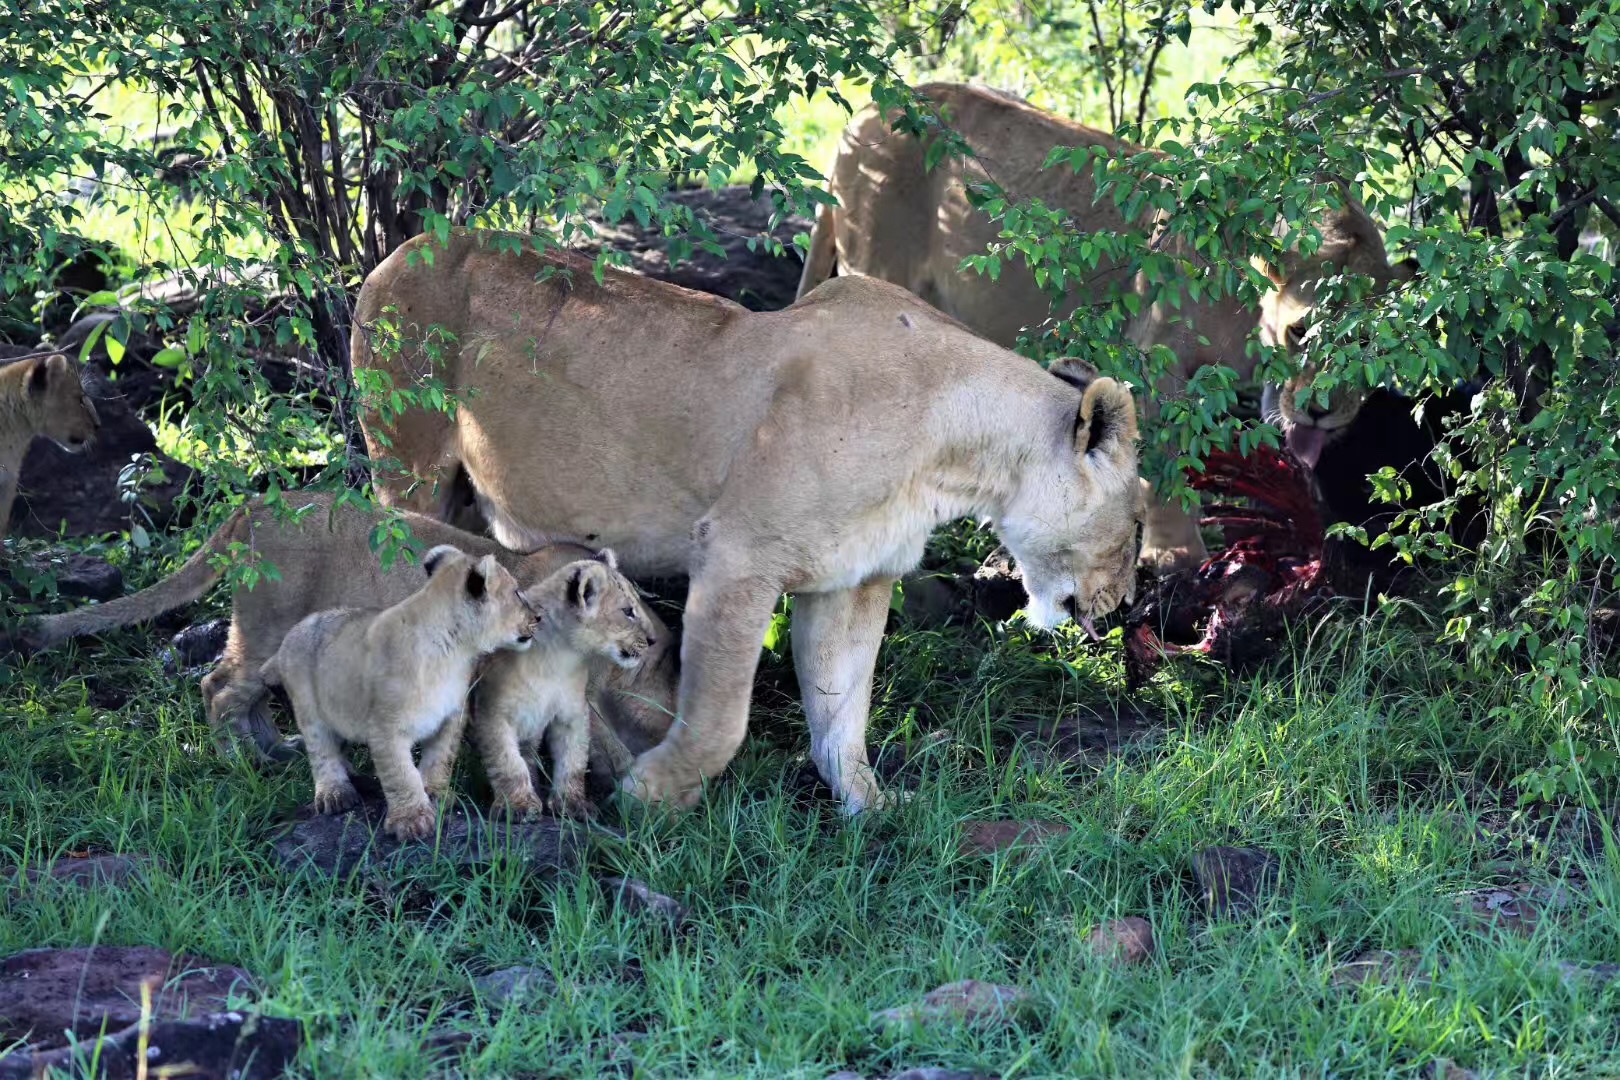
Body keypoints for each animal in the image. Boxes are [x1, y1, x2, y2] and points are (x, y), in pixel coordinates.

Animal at [354, 233, 1140, 816]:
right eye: (1136, 526)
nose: (1125, 603)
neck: (955, 452)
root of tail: (405, 248)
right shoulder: (737, 557)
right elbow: (722, 719)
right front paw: (652, 794)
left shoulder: (854, 579)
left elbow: (841, 708)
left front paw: (869, 807)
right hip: (408, 466)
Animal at [803, 83, 1412, 569]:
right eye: (1300, 333)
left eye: (1365, 342)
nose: (1321, 410)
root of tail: (861, 117)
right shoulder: (1158, 360)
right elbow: (1169, 463)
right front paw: (1174, 554)